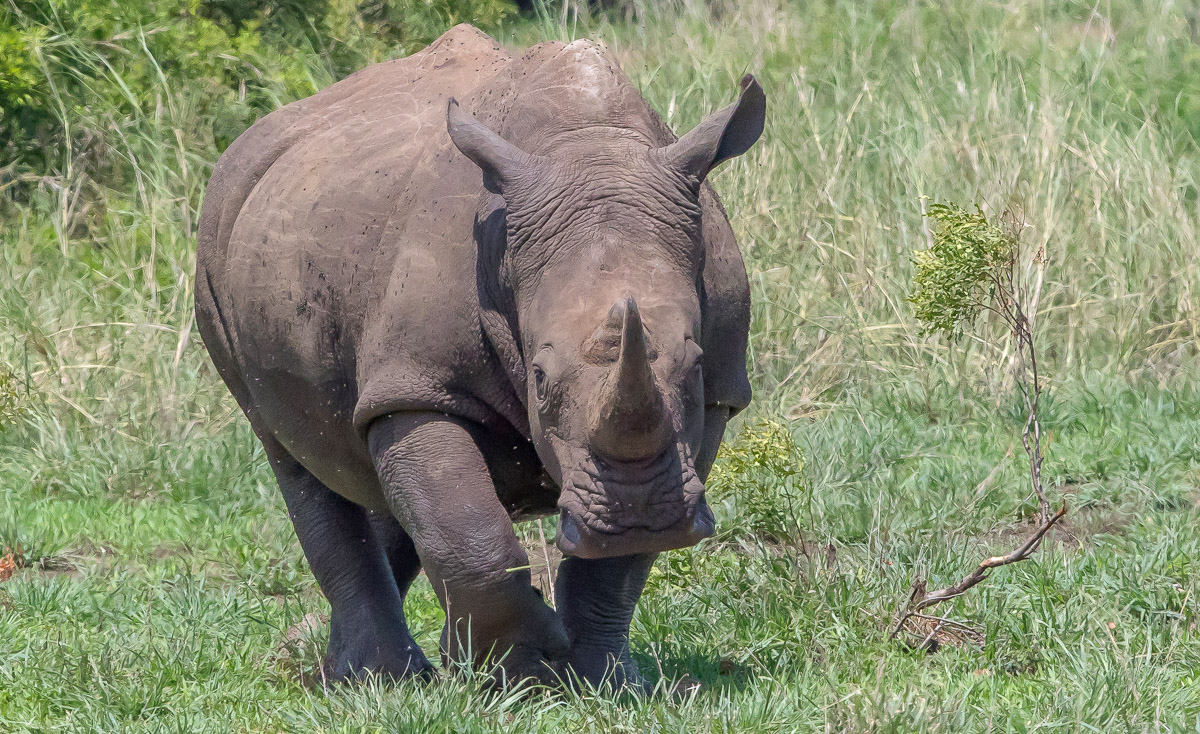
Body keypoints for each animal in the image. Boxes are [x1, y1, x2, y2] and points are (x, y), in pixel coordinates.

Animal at [195, 24, 764, 689]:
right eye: (538, 377)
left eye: (694, 365)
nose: (637, 513)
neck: (589, 147)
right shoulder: (420, 382)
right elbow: (470, 535)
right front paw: (518, 675)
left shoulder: (718, 394)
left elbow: (617, 568)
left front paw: (601, 682)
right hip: (217, 245)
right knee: (295, 459)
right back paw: (380, 681)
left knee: (373, 465)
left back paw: (346, 671)